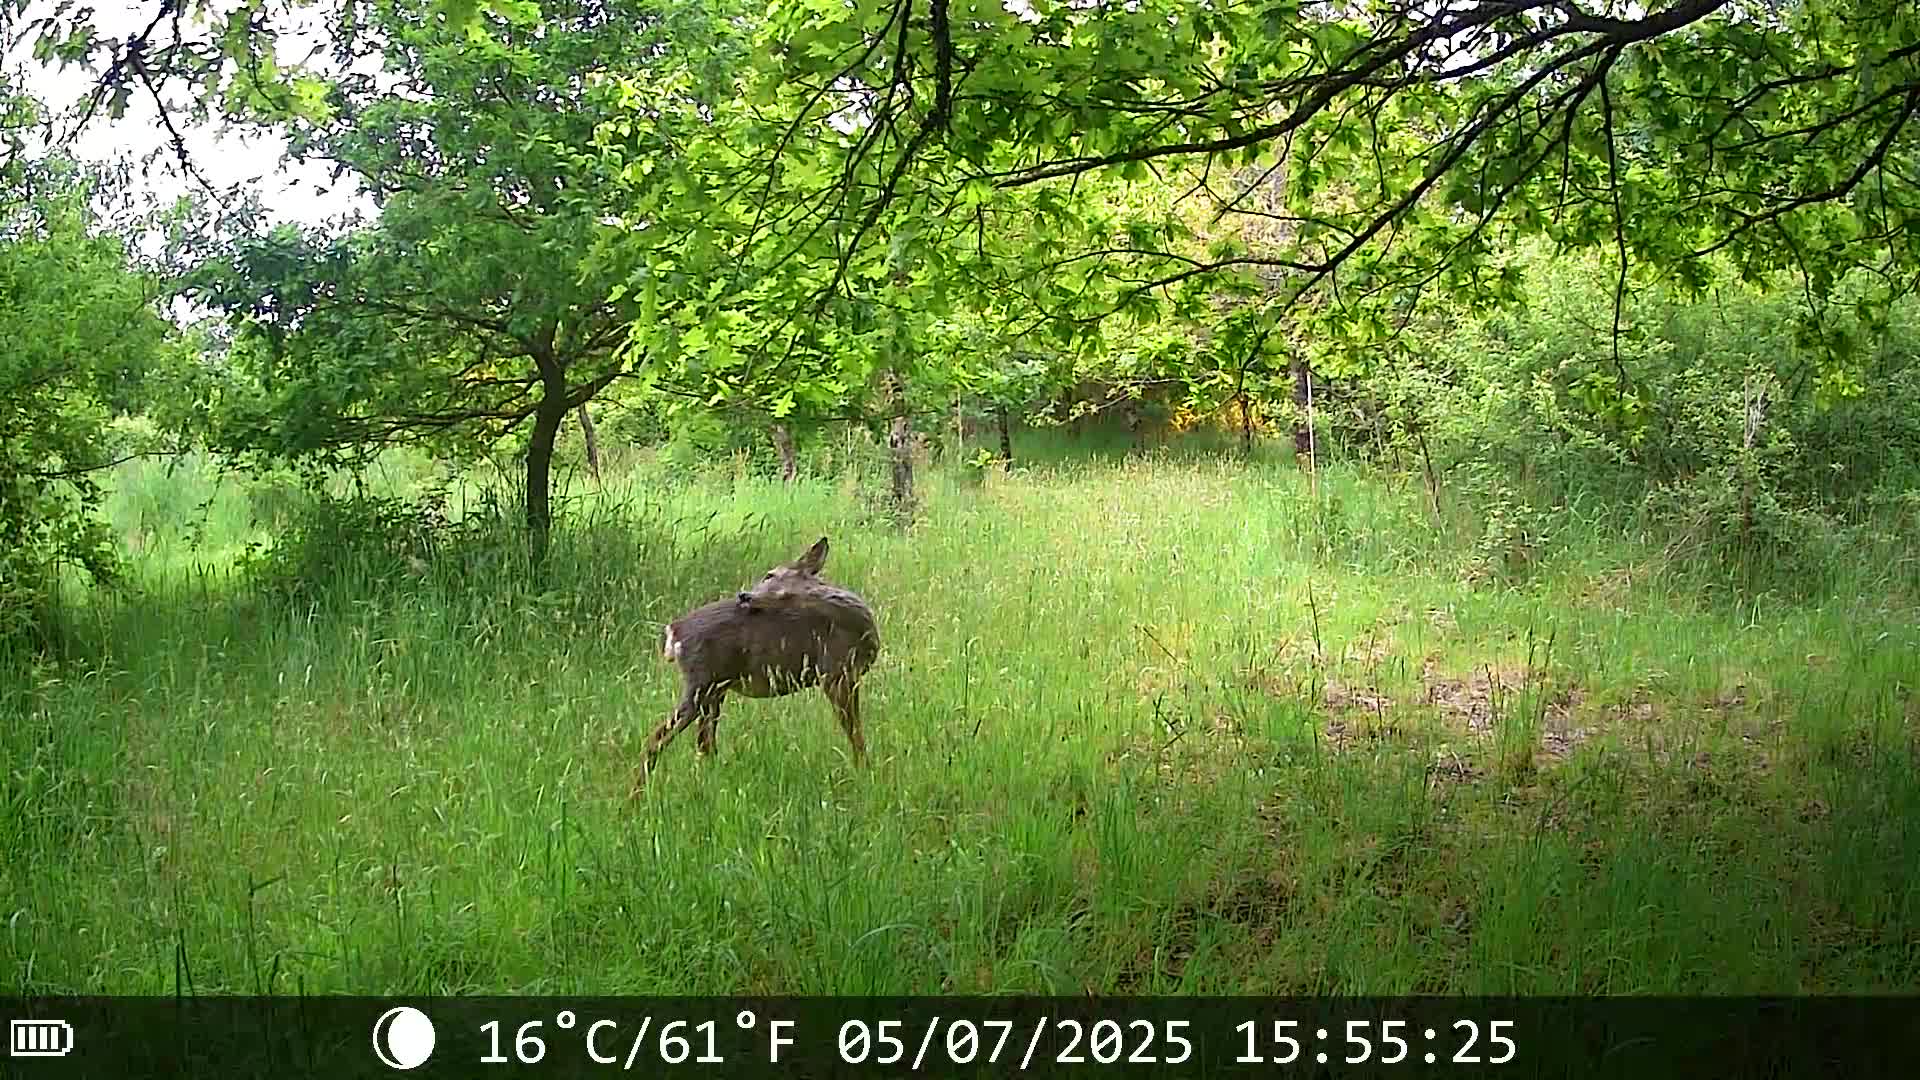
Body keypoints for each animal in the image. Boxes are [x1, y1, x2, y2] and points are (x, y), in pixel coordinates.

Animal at [642, 537, 880, 785]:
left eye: (769, 574)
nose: (743, 595)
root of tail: (673, 630)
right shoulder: (835, 673)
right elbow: (855, 733)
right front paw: (865, 772)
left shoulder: (843, 676)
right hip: (701, 682)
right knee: (657, 739)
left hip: (715, 689)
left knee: (703, 744)